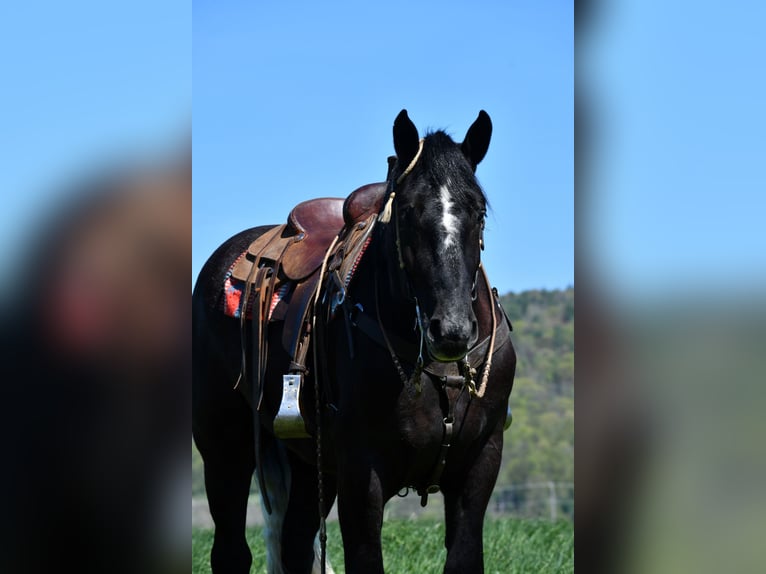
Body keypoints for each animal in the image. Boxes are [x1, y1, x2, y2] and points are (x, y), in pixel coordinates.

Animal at [192, 110, 520, 572]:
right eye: (407, 210)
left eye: (478, 210)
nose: (452, 330)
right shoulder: (362, 475)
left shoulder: (479, 464)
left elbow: (464, 558)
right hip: (223, 445)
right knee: (232, 550)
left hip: (309, 464)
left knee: (295, 543)